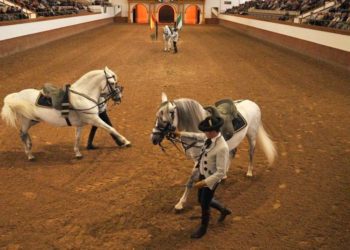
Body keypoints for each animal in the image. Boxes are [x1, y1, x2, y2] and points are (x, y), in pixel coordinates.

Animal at [1, 66, 131, 160]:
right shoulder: (94, 119)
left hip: (34, 120)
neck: (83, 95)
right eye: (113, 83)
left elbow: (77, 138)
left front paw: (78, 153)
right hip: (26, 120)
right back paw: (29, 155)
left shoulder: (80, 124)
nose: (119, 97)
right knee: (22, 134)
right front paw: (126, 142)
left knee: (23, 133)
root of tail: (17, 95)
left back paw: (29, 147)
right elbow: (111, 128)